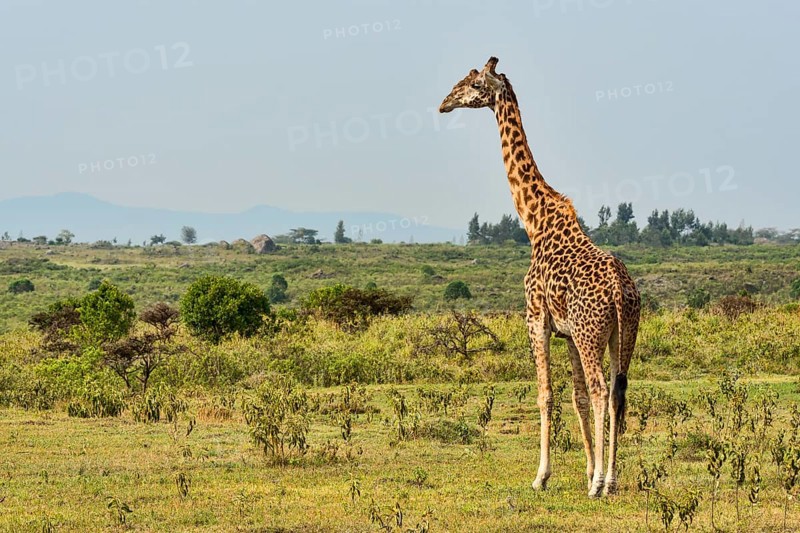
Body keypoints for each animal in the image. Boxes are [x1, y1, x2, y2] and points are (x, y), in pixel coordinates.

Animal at [439, 57, 641, 498]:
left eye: (474, 84)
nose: (444, 103)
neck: (535, 221)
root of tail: (621, 291)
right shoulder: (567, 332)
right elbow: (575, 396)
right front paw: (586, 469)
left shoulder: (536, 319)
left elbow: (546, 394)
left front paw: (542, 476)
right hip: (622, 332)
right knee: (616, 392)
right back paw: (611, 479)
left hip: (592, 332)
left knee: (601, 390)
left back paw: (600, 484)